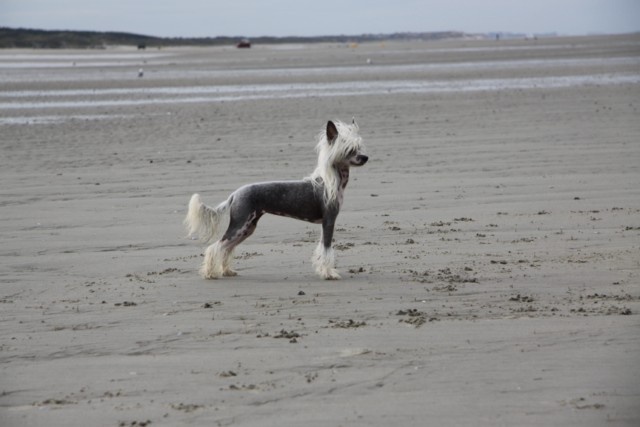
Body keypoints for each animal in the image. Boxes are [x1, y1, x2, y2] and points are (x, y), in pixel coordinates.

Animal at [184, 119, 368, 280]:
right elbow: (326, 249)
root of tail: (235, 194)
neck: (330, 183)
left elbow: (322, 248)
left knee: (226, 248)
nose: (365, 157)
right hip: (240, 224)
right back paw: (210, 274)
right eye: (350, 150)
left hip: (247, 228)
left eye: (359, 147)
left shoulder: (325, 224)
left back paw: (227, 271)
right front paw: (329, 274)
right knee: (215, 247)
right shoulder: (329, 221)